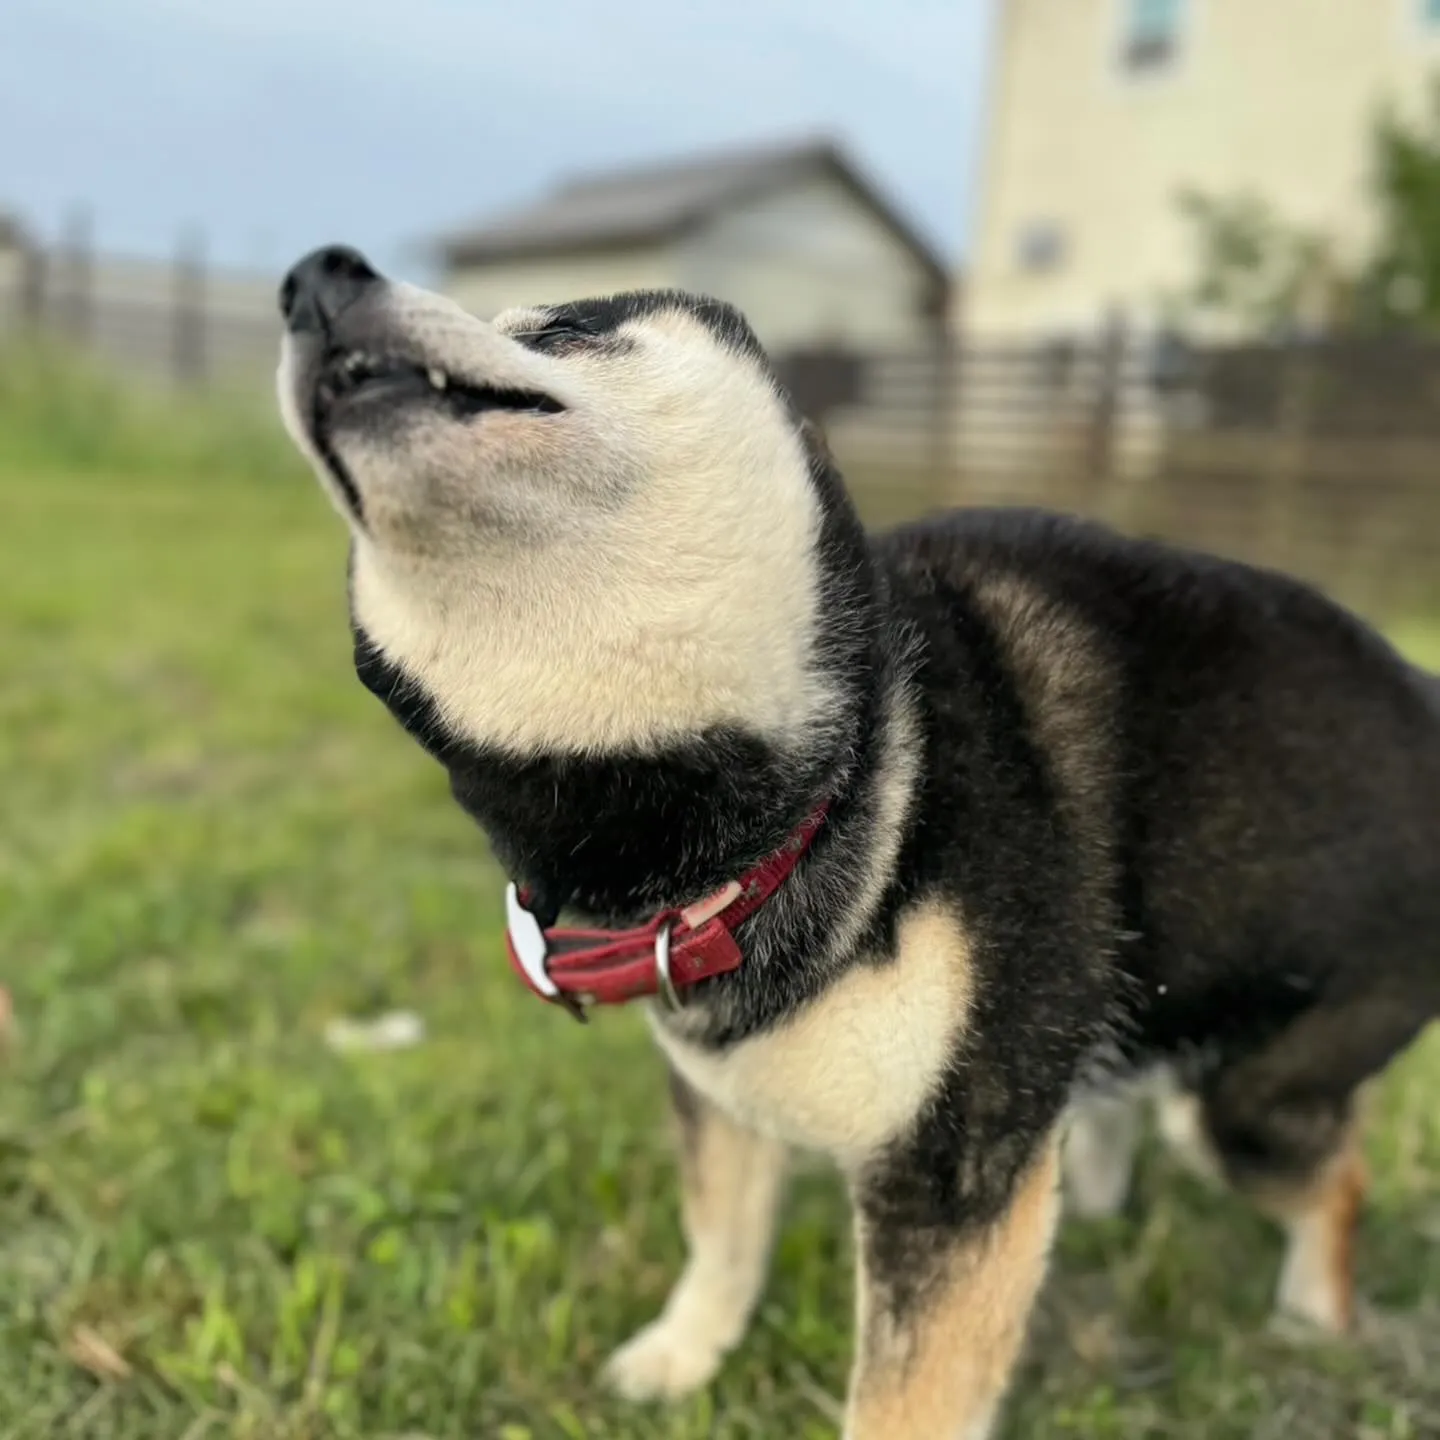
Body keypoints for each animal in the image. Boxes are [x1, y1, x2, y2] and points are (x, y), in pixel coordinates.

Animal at [272, 244, 1440, 1428]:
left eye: (562, 328)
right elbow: (723, 1239)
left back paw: (1312, 1315)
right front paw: (682, 1355)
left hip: (1247, 1098)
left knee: (1335, 1177)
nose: (315, 279)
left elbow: (904, 1399)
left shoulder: (950, 1172)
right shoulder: (722, 1085)